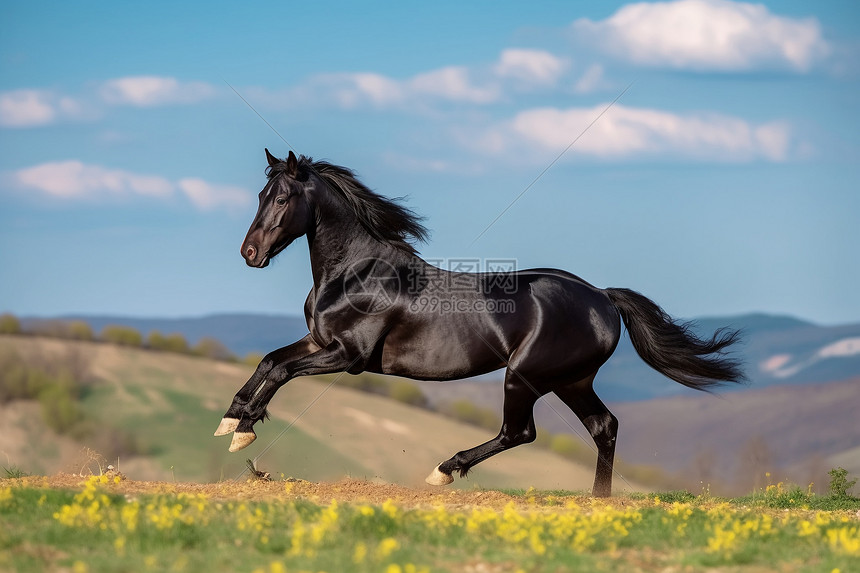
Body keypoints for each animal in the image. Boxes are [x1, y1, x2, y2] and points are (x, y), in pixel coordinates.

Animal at [214, 149, 744, 497]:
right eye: (261, 193)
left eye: (283, 198)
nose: (249, 253)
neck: (356, 272)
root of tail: (601, 298)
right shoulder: (317, 340)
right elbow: (269, 362)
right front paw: (232, 421)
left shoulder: (348, 356)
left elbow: (282, 372)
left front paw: (245, 434)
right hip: (571, 380)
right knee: (603, 425)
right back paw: (598, 500)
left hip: (525, 375)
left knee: (521, 433)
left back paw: (444, 470)